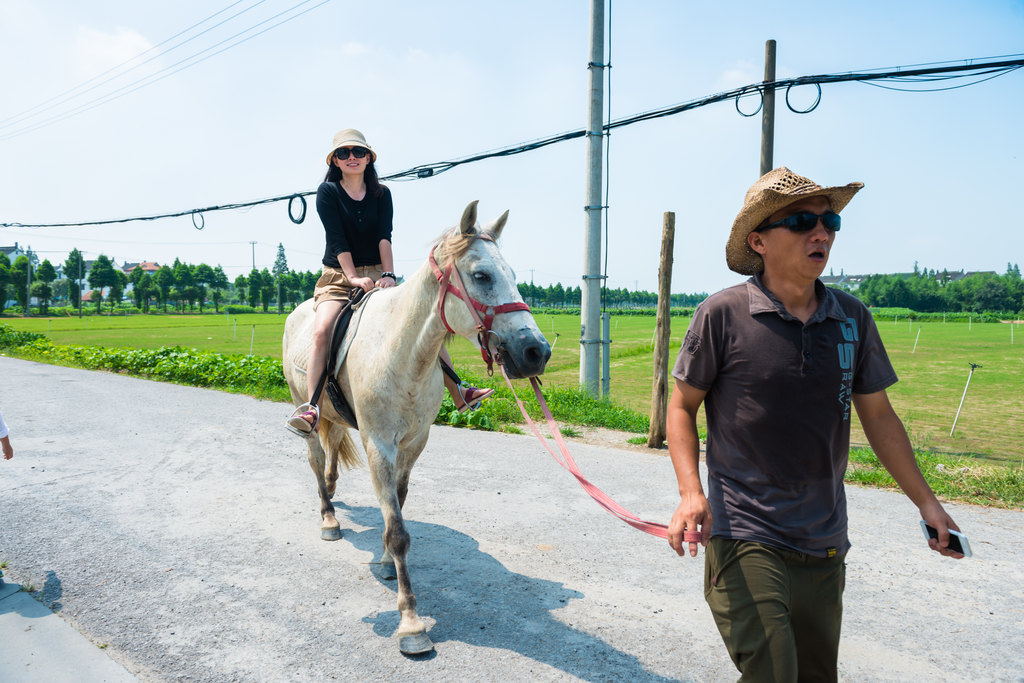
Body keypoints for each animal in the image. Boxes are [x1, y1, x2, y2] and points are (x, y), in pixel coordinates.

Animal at [280, 200, 552, 655]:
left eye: (514, 275)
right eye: (482, 275)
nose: (536, 351)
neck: (401, 353)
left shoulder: (414, 442)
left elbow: (398, 509)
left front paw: (385, 562)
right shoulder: (378, 445)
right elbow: (398, 531)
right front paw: (410, 623)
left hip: (338, 420)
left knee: (331, 455)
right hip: (306, 409)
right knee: (316, 460)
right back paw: (329, 519)